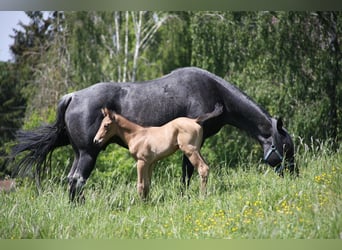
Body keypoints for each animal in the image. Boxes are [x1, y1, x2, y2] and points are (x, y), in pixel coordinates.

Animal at [93, 103, 224, 199]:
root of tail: (195, 120)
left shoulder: (141, 162)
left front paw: (140, 205)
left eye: (106, 125)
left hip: (190, 150)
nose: (96, 140)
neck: (137, 134)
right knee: (206, 167)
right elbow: (147, 184)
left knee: (203, 168)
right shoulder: (150, 163)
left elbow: (140, 185)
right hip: (197, 149)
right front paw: (146, 202)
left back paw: (202, 196)